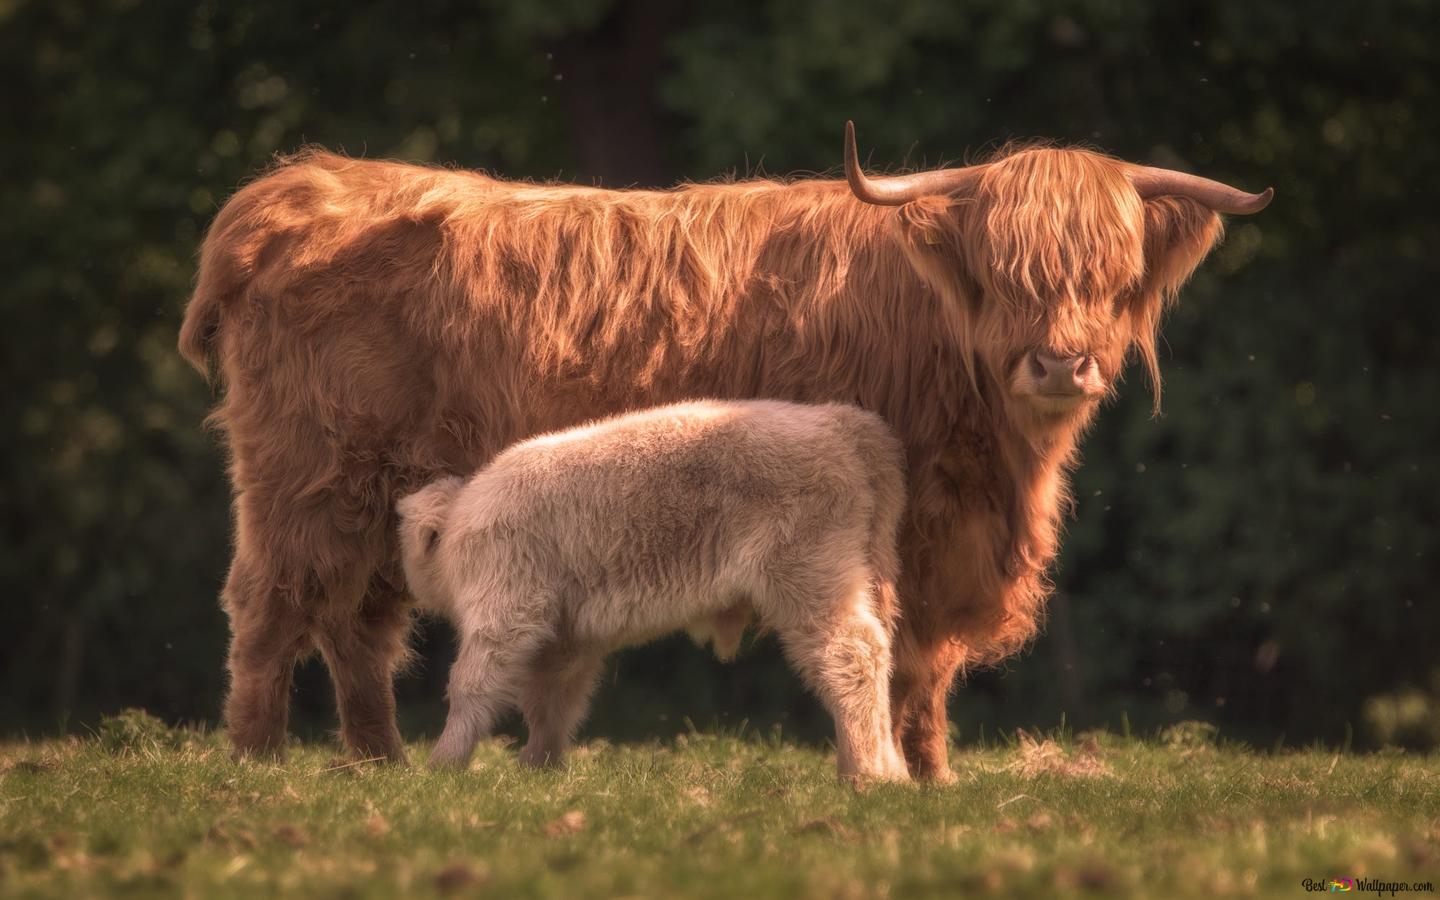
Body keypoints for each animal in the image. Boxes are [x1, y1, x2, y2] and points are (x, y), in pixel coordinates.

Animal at [179, 121, 1270, 779]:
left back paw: (383, 763)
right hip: (308, 479)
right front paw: (916, 773)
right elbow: (909, 654)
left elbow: (921, 665)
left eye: (1112, 274)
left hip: (378, 493)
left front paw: (928, 772)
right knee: (272, 610)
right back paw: (258, 761)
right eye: (1004, 272)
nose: (1060, 363)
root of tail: (292, 190)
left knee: (355, 627)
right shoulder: (915, 531)